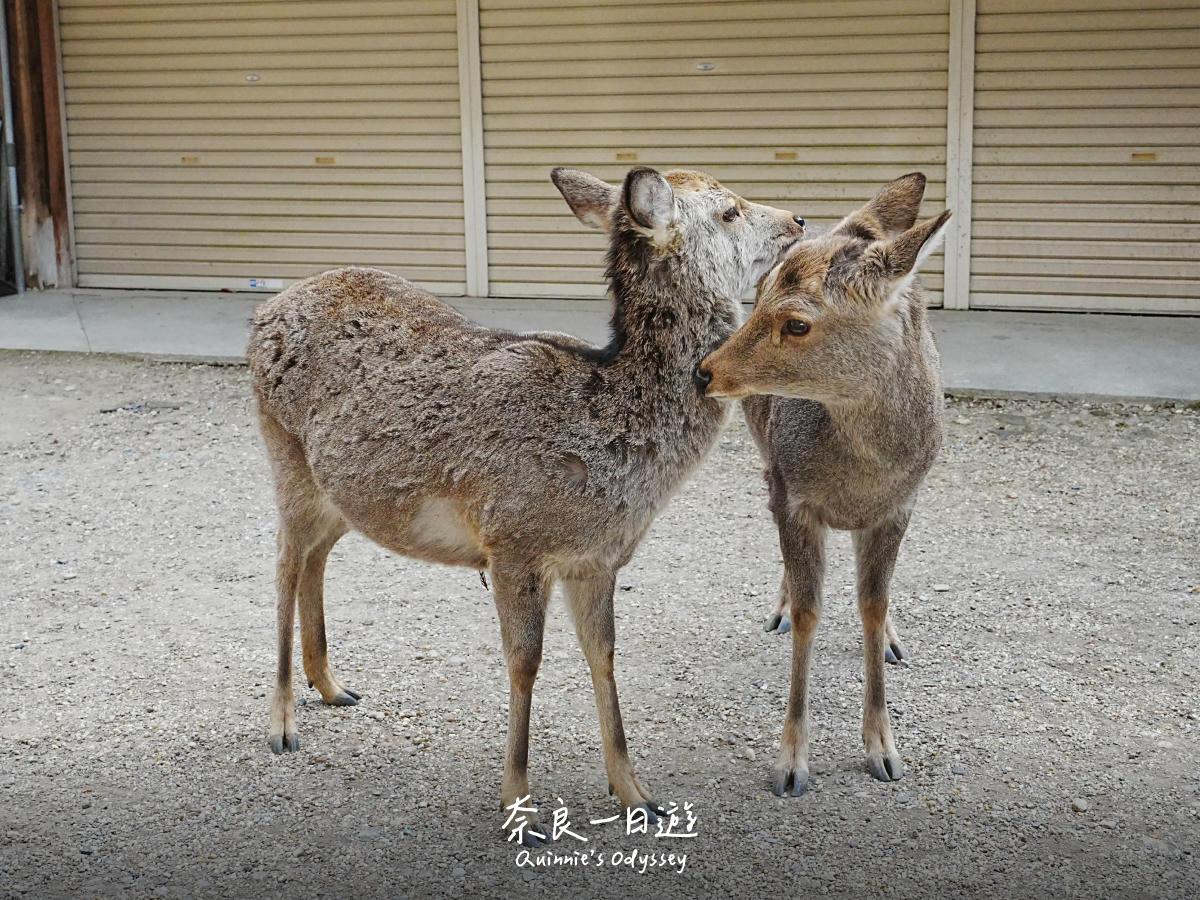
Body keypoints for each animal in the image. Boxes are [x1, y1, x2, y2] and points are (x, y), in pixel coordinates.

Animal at [246, 165, 806, 843]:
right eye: (728, 211)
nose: (799, 219)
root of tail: (265, 310)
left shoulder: (598, 560)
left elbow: (603, 655)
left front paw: (637, 795)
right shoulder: (512, 542)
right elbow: (525, 662)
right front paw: (519, 803)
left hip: (343, 495)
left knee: (315, 557)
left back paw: (330, 685)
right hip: (284, 455)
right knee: (283, 561)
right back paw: (282, 724)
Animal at [696, 173, 948, 797]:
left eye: (797, 323)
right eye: (759, 297)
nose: (704, 371)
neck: (859, 475)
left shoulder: (899, 506)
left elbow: (873, 603)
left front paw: (884, 749)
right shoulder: (793, 498)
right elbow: (811, 613)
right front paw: (791, 762)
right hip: (766, 459)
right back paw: (780, 607)